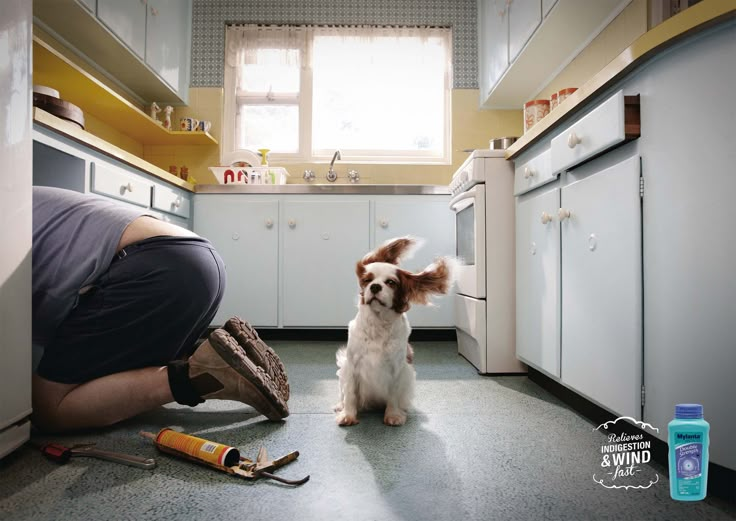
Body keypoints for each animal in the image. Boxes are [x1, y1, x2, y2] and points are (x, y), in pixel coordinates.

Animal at [334, 238, 452, 424]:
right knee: (343, 393)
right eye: (367, 280)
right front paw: (348, 415)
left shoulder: (397, 369)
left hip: (409, 375)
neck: (379, 322)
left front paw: (393, 415)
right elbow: (350, 394)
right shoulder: (352, 365)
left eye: (391, 282)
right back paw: (340, 405)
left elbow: (393, 395)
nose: (375, 287)